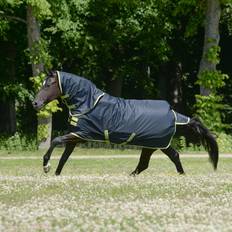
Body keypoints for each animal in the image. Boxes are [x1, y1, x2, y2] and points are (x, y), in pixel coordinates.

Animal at [32, 70, 219, 176]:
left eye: (48, 84)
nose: (35, 103)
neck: (88, 104)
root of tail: (172, 113)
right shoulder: (75, 137)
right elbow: (64, 158)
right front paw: (56, 174)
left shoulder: (81, 135)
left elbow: (56, 141)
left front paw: (46, 166)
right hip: (153, 145)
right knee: (159, 160)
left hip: (157, 144)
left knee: (162, 159)